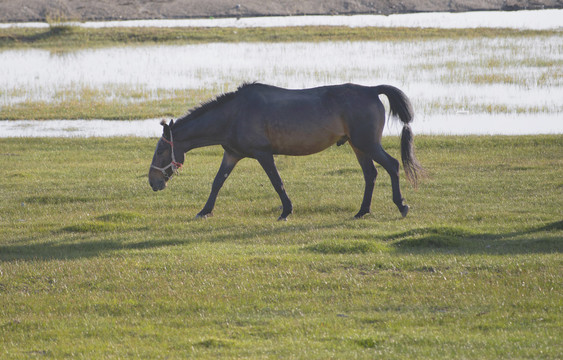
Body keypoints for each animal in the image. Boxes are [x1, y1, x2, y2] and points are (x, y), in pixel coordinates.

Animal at [149, 83, 424, 221]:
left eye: (161, 150)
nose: (153, 182)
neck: (233, 114)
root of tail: (371, 89)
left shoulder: (263, 154)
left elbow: (277, 182)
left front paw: (286, 211)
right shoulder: (232, 154)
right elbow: (217, 182)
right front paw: (205, 211)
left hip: (367, 143)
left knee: (392, 166)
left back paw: (401, 205)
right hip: (359, 146)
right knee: (371, 174)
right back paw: (362, 211)